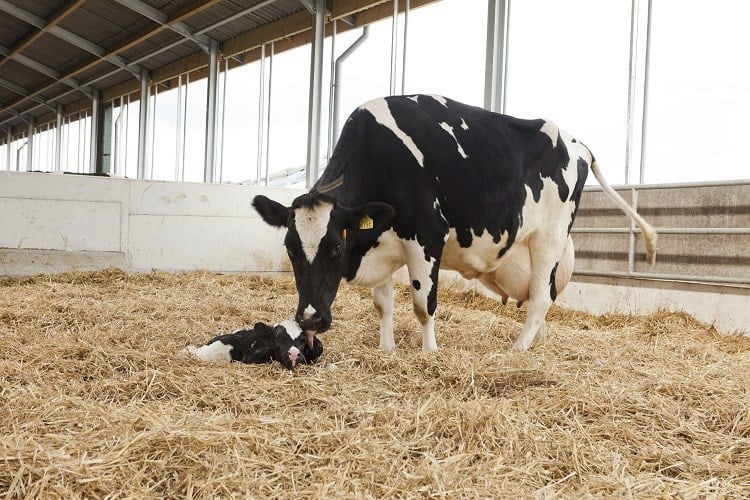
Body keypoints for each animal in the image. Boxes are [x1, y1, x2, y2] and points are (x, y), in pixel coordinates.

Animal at [254, 94, 656, 352]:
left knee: (542, 297)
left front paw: (429, 352)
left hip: (550, 235)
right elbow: (383, 303)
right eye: (290, 250)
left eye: (335, 247)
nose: (309, 319)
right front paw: (386, 349)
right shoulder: (381, 239)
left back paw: (518, 349)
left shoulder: (426, 236)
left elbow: (422, 303)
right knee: (545, 295)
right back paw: (536, 341)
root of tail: (576, 143)